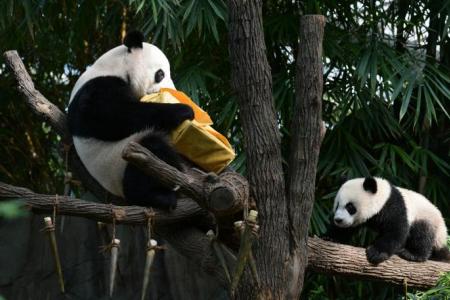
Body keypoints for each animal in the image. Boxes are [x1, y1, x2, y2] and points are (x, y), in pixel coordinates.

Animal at [68, 30, 193, 209]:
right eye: (160, 74)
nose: (172, 90)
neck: (116, 67)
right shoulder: (97, 87)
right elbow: (114, 116)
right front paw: (183, 110)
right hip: (120, 164)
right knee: (151, 151)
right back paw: (160, 196)